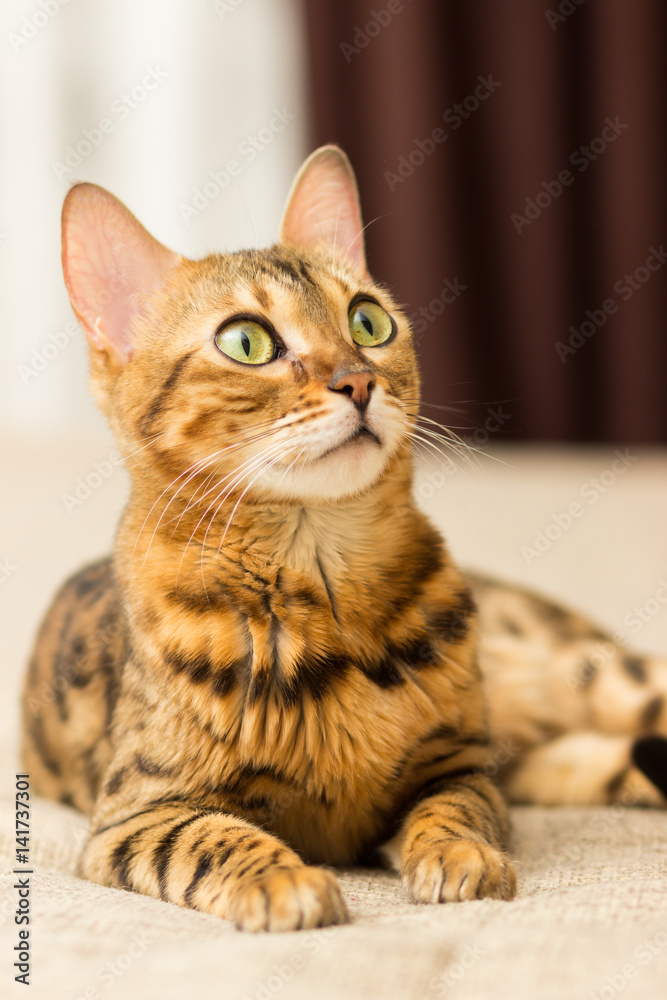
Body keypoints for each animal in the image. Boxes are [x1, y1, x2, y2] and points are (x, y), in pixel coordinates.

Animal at [23, 143, 667, 928]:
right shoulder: (135, 813)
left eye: (367, 322)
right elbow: (212, 838)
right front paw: (282, 880)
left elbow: (453, 810)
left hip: (588, 675)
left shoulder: (463, 764)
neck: (321, 580)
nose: (358, 382)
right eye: (246, 341)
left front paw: (459, 855)